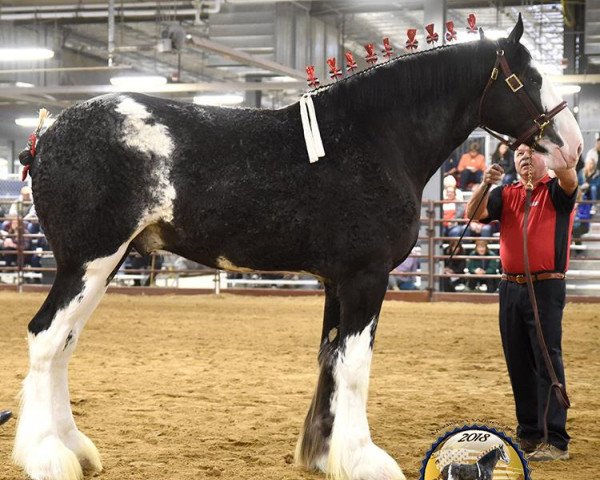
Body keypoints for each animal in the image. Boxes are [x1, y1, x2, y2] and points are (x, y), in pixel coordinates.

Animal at [11, 16, 580, 480]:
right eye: (528, 79)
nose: (574, 148)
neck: (376, 138)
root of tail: (47, 133)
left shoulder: (338, 281)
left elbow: (330, 358)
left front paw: (324, 454)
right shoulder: (366, 276)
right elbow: (354, 366)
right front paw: (364, 460)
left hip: (104, 265)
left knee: (63, 346)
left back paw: (74, 449)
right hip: (89, 262)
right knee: (46, 338)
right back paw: (47, 457)